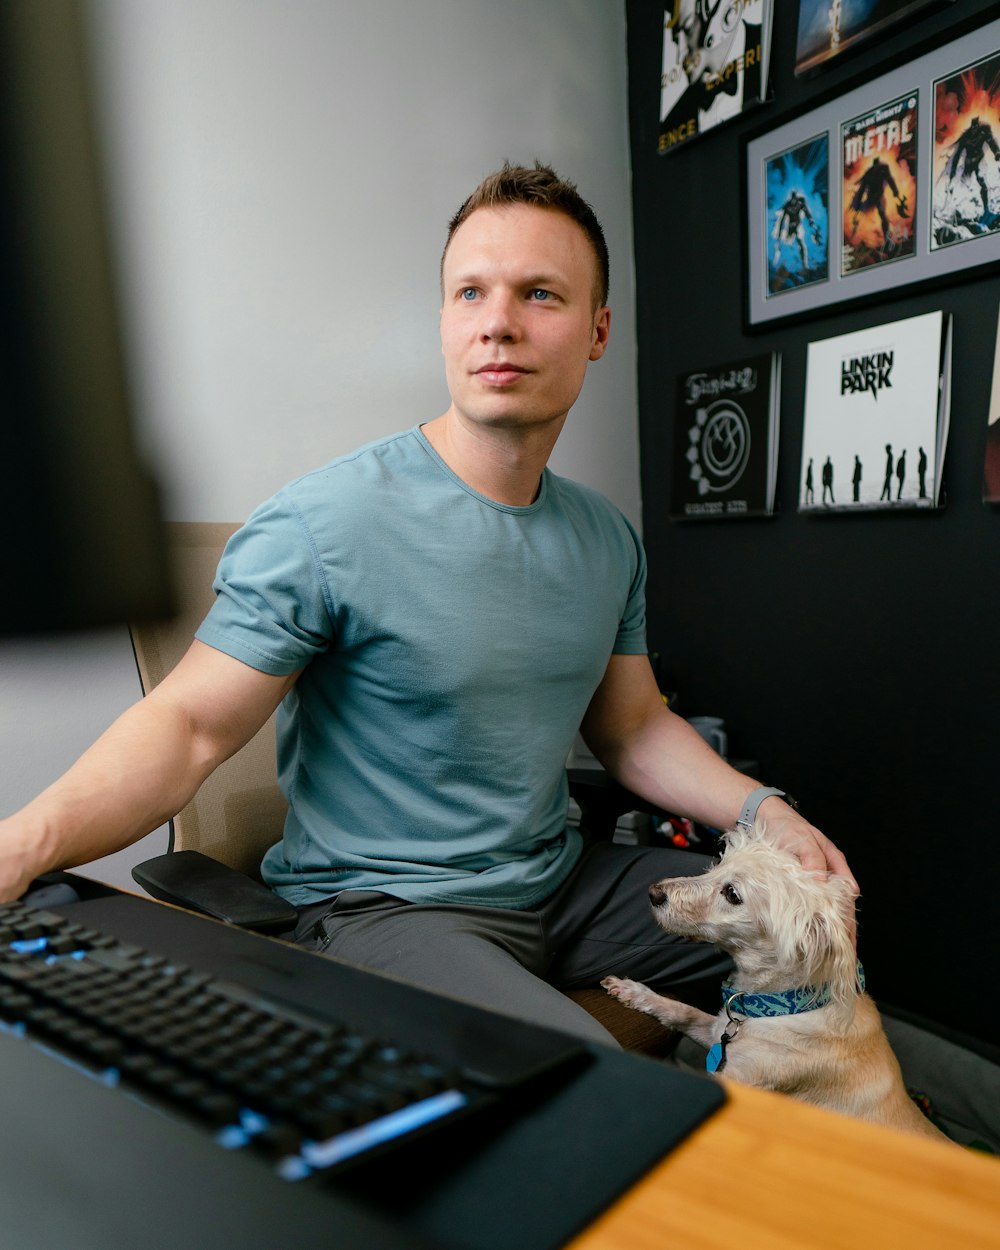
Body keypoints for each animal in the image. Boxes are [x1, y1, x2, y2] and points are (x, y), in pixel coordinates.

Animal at [602, 820, 955, 1145]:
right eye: (719, 863)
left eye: (732, 893)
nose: (653, 893)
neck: (781, 1007)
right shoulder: (716, 1034)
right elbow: (682, 1011)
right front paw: (635, 992)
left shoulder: (737, 1084)